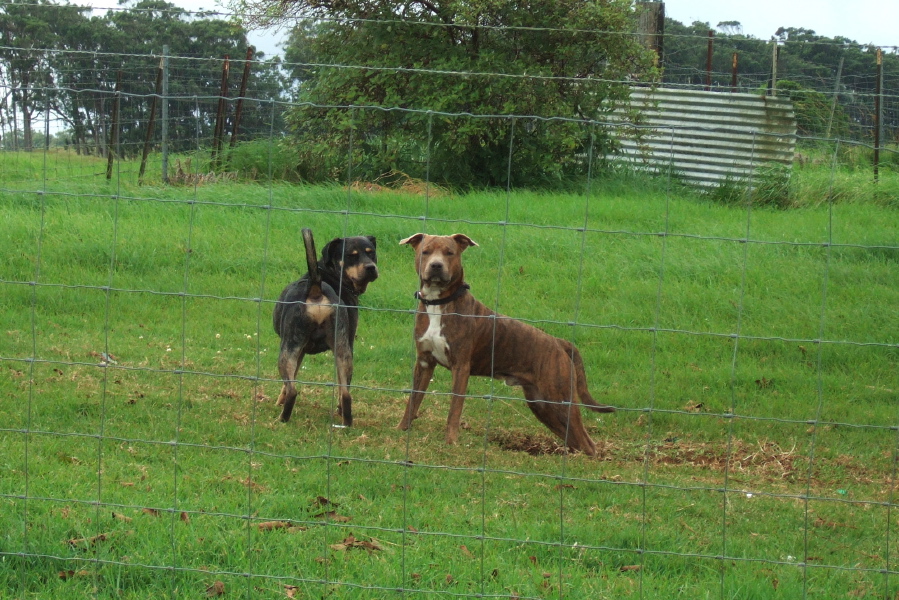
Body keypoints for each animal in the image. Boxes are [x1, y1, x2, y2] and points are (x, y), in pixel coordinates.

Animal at [270, 230, 376, 426]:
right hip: (342, 350)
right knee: (346, 393)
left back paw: (283, 419)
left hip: (287, 348)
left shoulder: (296, 348)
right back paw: (346, 422)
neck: (332, 275)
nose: (371, 267)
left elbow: (289, 383)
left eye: (371, 253)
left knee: (293, 390)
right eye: (351, 256)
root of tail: (316, 288)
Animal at [398, 233, 616, 454]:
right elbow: (413, 400)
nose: (436, 265)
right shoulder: (424, 363)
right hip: (542, 404)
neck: (439, 303)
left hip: (559, 399)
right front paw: (401, 429)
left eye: (449, 253)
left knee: (587, 442)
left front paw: (450, 442)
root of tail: (559, 342)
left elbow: (454, 410)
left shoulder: (461, 367)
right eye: (425, 251)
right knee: (574, 438)